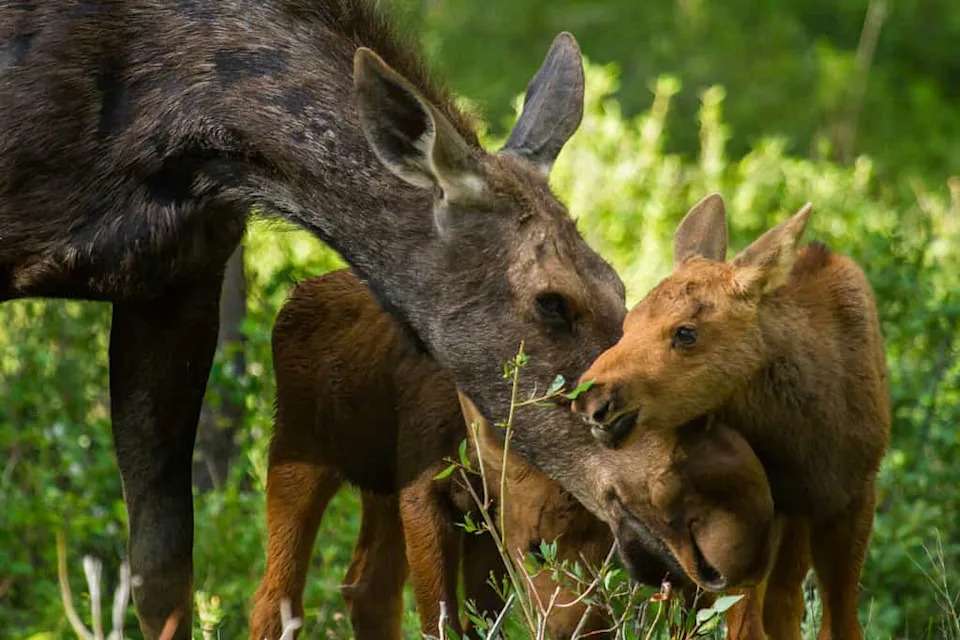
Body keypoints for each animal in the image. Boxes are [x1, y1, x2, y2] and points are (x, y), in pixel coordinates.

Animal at [251, 268, 779, 639]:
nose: (712, 574)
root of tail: (294, 297)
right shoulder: (427, 491)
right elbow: (441, 619)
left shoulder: (482, 518)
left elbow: (482, 619)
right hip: (297, 448)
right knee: (275, 596)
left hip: (378, 485)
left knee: (365, 590)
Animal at [572, 193, 891, 639]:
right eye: (628, 322)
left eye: (686, 332)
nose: (591, 398)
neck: (804, 444)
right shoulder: (757, 518)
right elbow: (747, 624)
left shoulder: (855, 496)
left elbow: (841, 623)